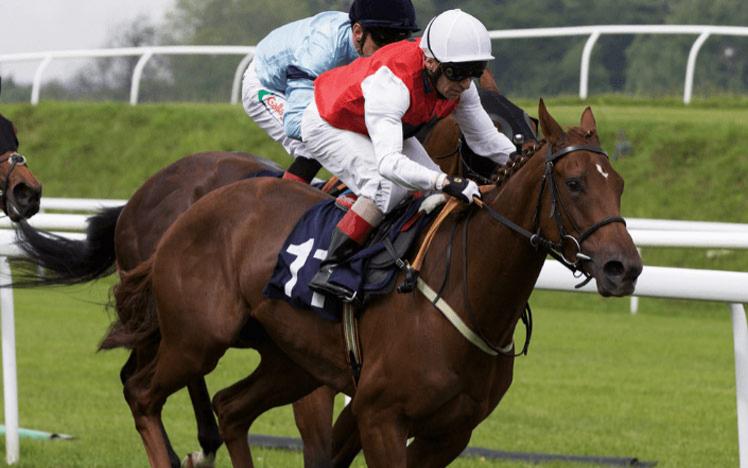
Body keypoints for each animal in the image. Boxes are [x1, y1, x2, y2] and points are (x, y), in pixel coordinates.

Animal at [111, 100, 644, 466]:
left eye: (617, 183)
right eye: (574, 183)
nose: (624, 267)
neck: (465, 289)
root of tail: (184, 214)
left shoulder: (449, 432)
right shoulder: (380, 415)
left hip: (291, 363)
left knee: (231, 407)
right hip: (197, 339)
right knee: (141, 393)